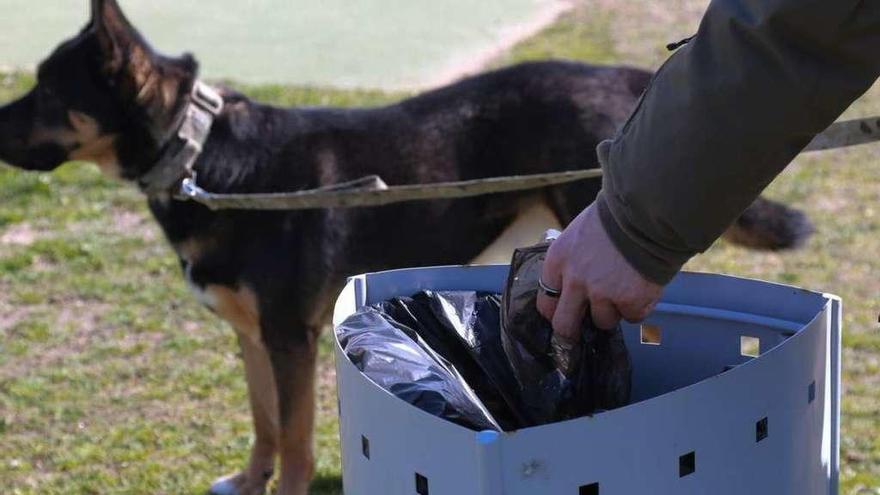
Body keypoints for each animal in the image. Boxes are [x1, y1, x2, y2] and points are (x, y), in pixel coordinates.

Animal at [0, 1, 812, 494]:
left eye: (46, 92)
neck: (205, 160)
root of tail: (631, 79)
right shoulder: (254, 336)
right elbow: (265, 423)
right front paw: (249, 480)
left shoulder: (291, 339)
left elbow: (295, 437)